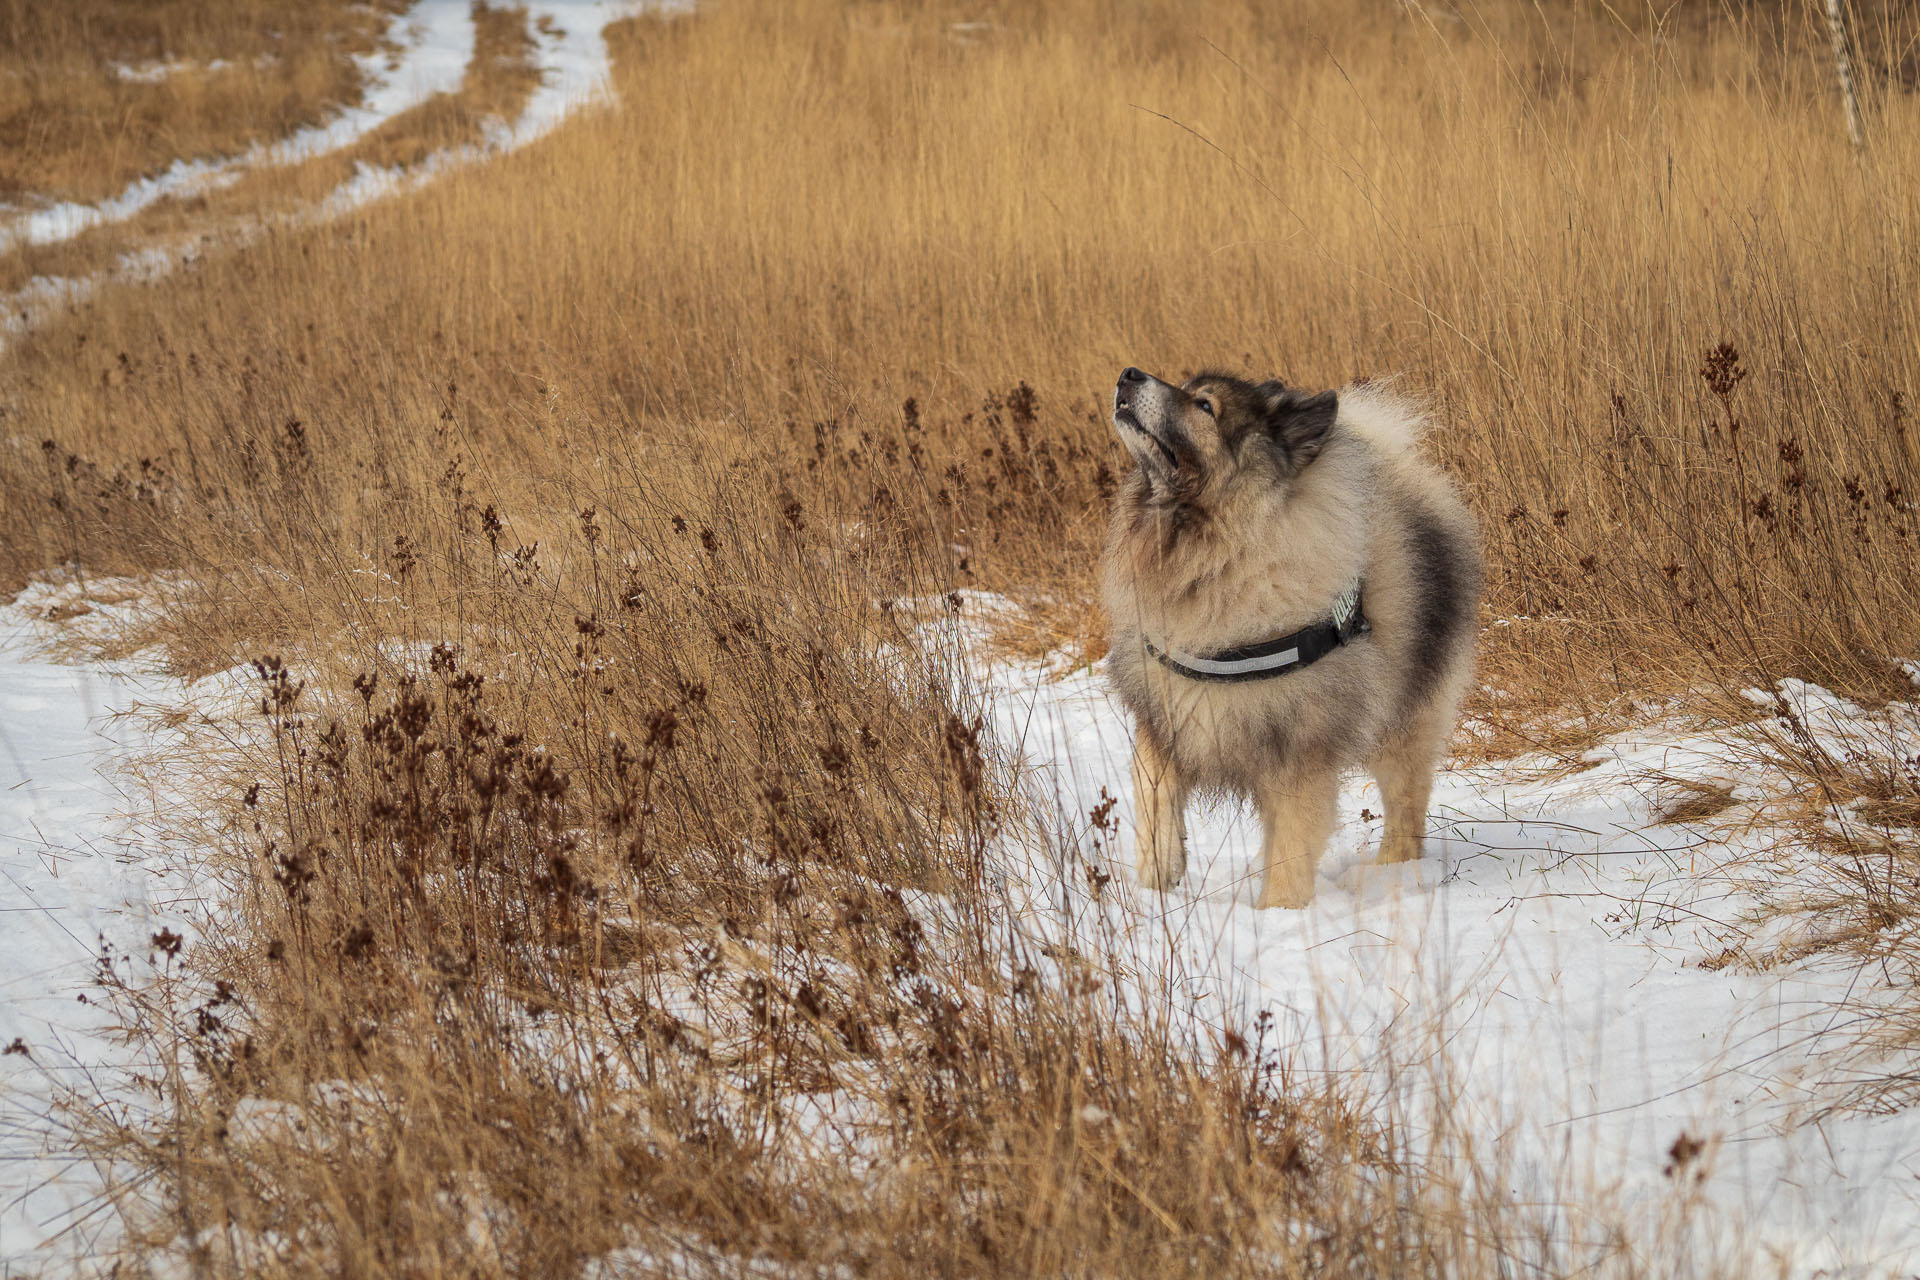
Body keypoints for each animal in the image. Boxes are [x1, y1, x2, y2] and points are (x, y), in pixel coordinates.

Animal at [1098, 370, 1482, 909]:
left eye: (1204, 405)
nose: (1129, 374)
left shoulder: (1298, 752)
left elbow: (1290, 848)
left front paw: (1278, 912)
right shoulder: (1166, 716)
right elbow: (1156, 801)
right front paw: (1159, 884)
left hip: (1402, 724)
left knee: (1406, 810)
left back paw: (1391, 874)